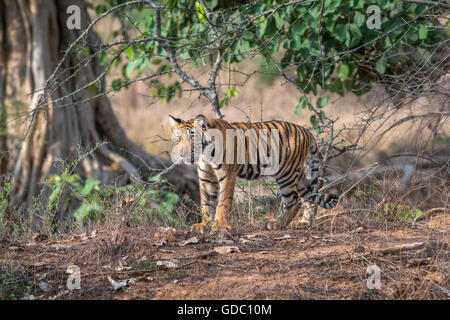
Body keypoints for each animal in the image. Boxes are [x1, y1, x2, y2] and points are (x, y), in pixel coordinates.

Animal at [169, 114, 338, 234]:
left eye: (192, 138)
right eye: (178, 139)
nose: (182, 154)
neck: (205, 154)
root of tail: (306, 131)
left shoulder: (227, 174)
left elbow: (223, 201)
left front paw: (219, 226)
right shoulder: (206, 177)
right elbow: (206, 202)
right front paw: (204, 225)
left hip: (286, 173)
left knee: (293, 200)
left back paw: (277, 223)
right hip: (297, 174)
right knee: (308, 196)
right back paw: (304, 222)